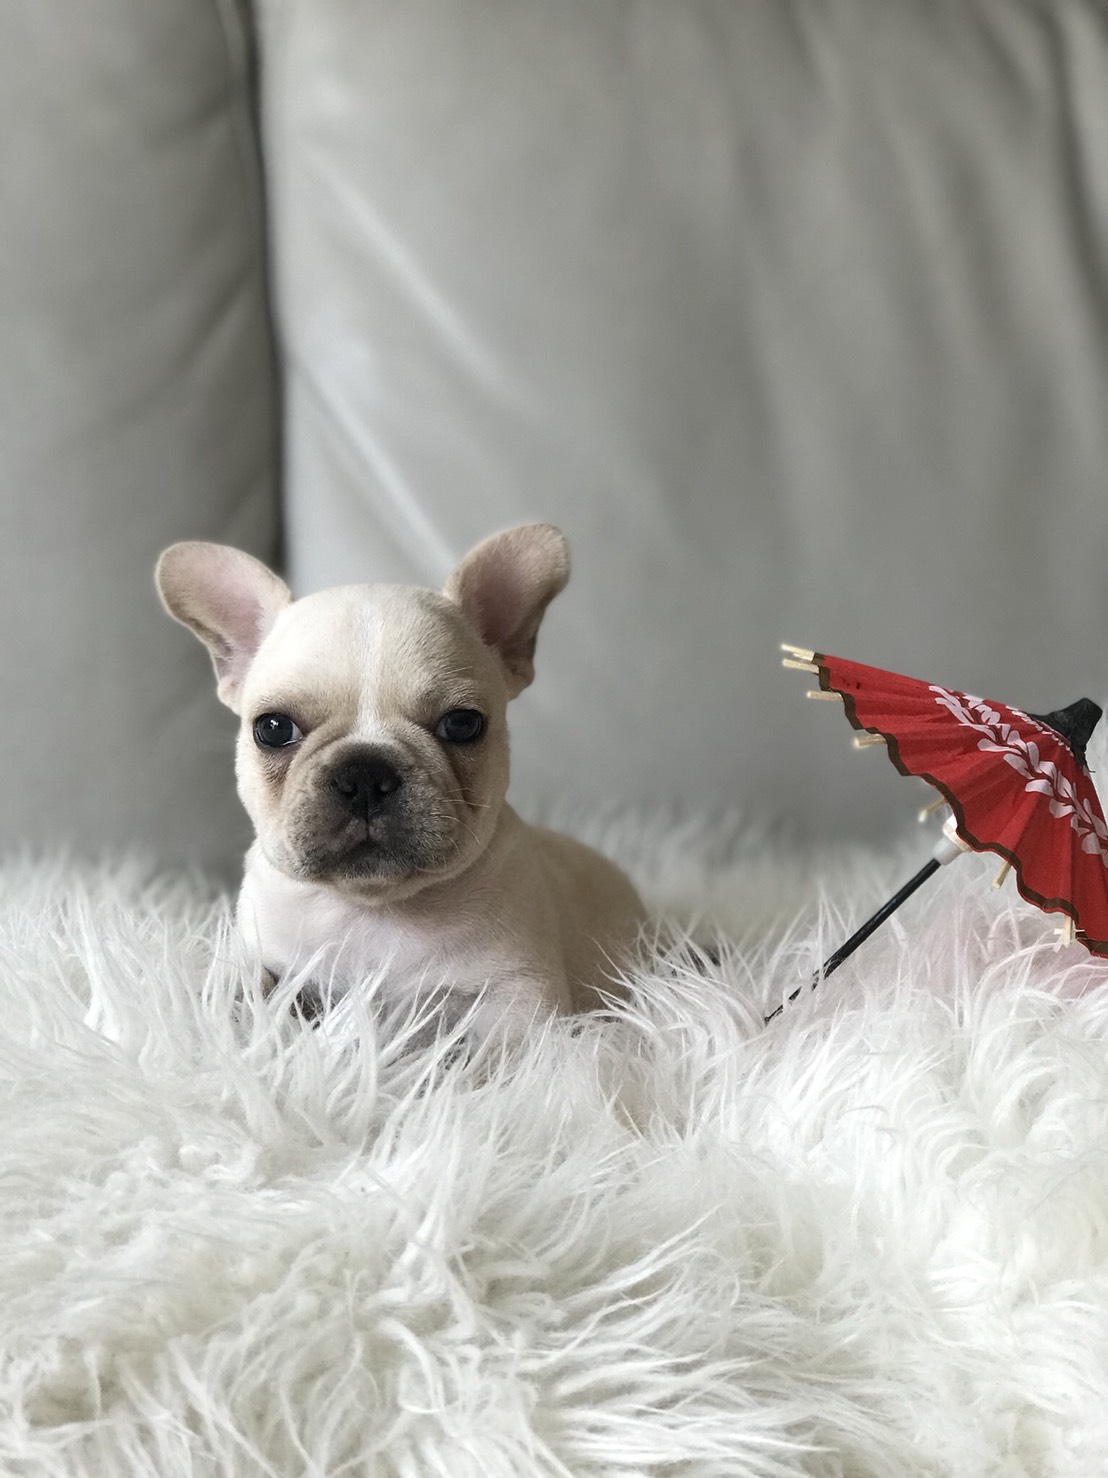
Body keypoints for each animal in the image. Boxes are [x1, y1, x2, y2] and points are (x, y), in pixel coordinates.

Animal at [156, 524, 645, 1046]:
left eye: (462, 724)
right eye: (272, 728)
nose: (365, 774)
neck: (375, 908)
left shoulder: (521, 997)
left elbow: (499, 1051)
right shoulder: (255, 954)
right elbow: (237, 988)